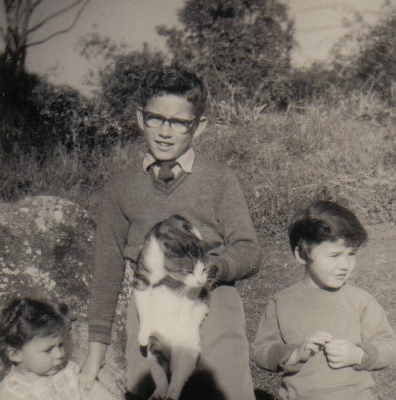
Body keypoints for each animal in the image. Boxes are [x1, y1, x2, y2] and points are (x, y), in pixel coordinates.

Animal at [130, 214, 217, 400]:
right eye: (189, 270)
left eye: (204, 269)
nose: (201, 280)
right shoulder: (142, 278)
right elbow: (143, 307)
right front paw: (143, 332)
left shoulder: (197, 286)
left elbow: (190, 298)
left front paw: (184, 316)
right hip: (155, 349)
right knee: (161, 375)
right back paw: (159, 393)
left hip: (186, 352)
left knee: (178, 379)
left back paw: (170, 394)